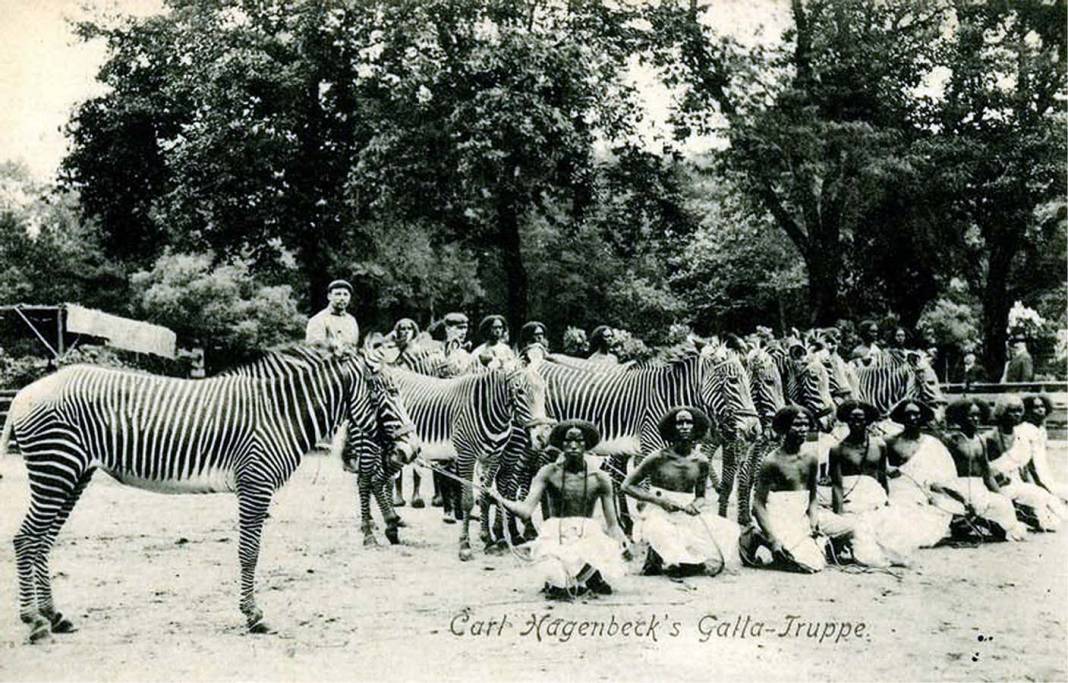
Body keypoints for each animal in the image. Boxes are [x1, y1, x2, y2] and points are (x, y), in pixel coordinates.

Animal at [1, 345, 416, 640]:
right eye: (389, 393)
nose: (410, 451)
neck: (279, 413)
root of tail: (23, 393)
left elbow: (248, 551)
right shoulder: (255, 484)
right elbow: (249, 552)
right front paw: (253, 615)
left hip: (73, 474)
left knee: (42, 540)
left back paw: (54, 616)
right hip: (56, 469)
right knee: (25, 539)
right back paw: (33, 621)